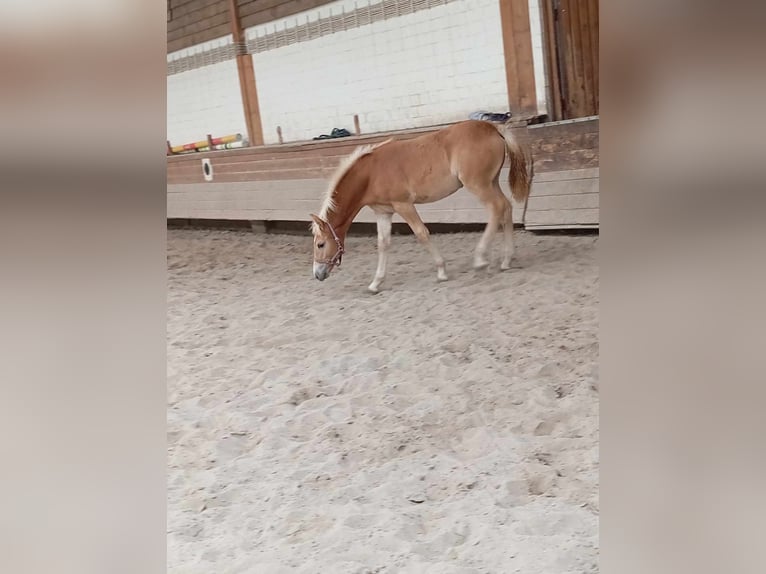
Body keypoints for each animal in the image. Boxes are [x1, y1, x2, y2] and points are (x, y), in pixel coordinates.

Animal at [308, 120, 532, 292]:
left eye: (320, 244)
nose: (317, 274)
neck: (371, 173)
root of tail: (492, 127)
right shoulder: (383, 212)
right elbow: (383, 243)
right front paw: (375, 283)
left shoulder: (404, 205)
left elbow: (422, 233)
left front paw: (441, 272)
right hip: (491, 182)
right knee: (506, 207)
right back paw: (506, 260)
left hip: (478, 185)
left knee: (496, 208)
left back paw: (480, 259)